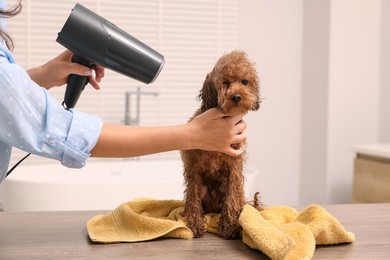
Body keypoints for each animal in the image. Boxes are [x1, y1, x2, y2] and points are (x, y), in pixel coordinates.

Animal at [181, 49, 260, 239]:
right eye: (225, 82)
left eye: (244, 82)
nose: (237, 96)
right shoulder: (193, 169)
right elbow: (192, 199)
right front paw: (195, 225)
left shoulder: (234, 169)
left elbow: (232, 199)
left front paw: (230, 226)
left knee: (237, 201)